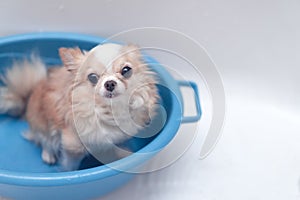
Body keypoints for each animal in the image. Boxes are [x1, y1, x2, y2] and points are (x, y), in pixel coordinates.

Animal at [0, 43, 159, 170]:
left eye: (126, 70)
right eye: (93, 77)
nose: (109, 83)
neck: (109, 110)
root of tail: (30, 94)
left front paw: (122, 153)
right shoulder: (73, 146)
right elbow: (71, 163)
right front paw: (68, 172)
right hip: (43, 124)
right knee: (43, 140)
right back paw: (48, 155)